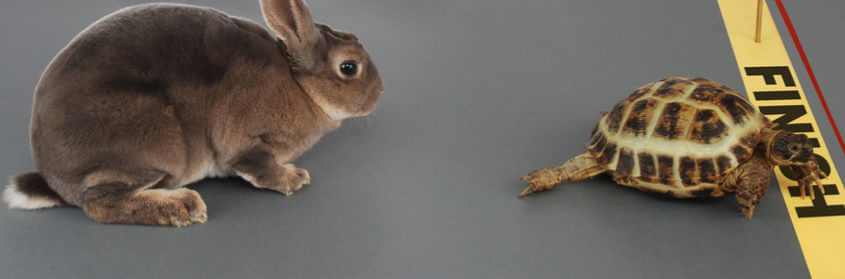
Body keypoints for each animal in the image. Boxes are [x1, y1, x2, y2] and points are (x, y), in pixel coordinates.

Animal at [1, 0, 384, 226]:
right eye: (349, 67)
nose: (379, 93)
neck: (299, 85)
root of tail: (54, 180)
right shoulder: (246, 141)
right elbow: (258, 166)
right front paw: (293, 178)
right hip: (156, 143)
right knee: (99, 202)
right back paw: (182, 206)